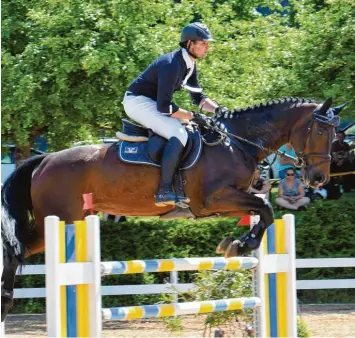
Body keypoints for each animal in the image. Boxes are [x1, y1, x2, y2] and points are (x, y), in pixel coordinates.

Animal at [0, 96, 344, 320]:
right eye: (320, 132)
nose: (318, 179)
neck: (236, 142)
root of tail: (44, 159)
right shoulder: (214, 198)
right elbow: (265, 207)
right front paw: (242, 244)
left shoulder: (219, 206)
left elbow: (262, 211)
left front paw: (236, 243)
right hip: (59, 219)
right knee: (15, 251)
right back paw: (5, 301)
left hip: (72, 219)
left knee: (18, 249)